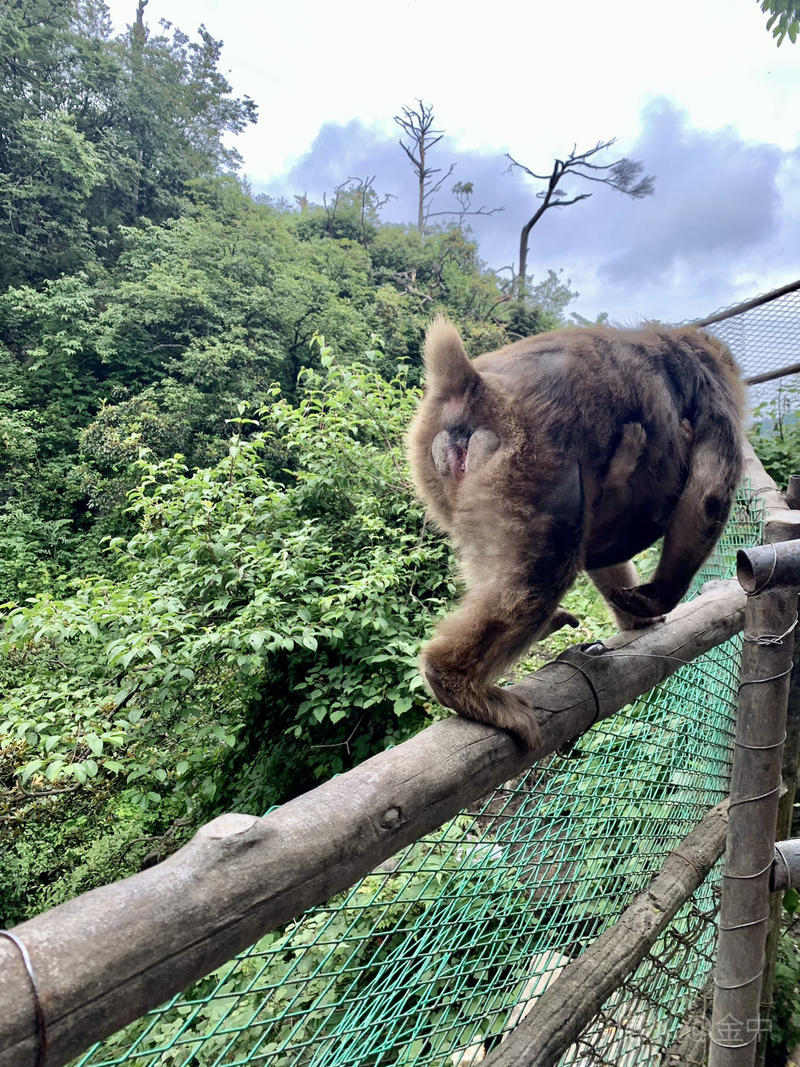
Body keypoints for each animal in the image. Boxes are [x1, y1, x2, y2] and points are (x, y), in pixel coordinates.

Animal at [408, 317, 744, 748]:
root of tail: (473, 386)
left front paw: (636, 619)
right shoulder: (713, 390)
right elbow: (708, 497)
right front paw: (658, 597)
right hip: (529, 462)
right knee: (548, 563)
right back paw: (453, 677)